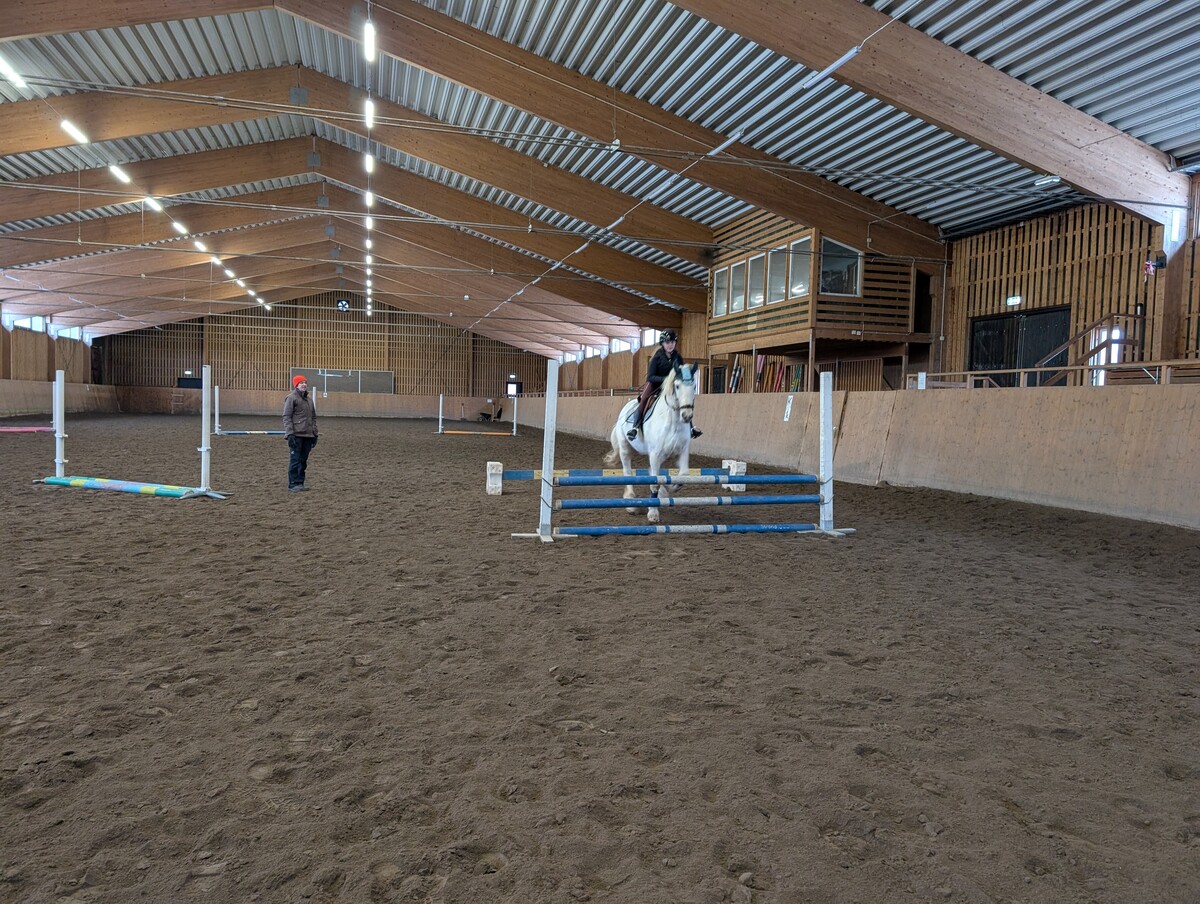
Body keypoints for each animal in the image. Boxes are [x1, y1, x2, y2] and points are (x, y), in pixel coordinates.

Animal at [603, 362, 699, 523]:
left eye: (694, 385)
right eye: (677, 386)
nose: (687, 416)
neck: (673, 421)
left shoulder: (682, 451)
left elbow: (682, 476)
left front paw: (668, 490)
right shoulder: (655, 454)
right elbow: (654, 484)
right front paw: (653, 513)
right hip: (625, 448)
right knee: (628, 472)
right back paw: (631, 504)